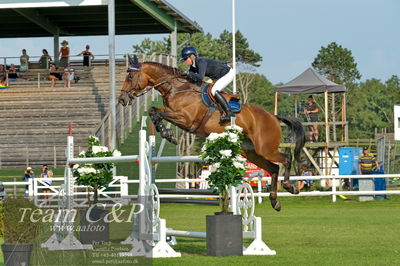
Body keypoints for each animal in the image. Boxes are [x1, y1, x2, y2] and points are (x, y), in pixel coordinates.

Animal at [117, 58, 304, 212]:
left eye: (130, 77)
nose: (121, 100)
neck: (177, 88)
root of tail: (273, 116)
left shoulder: (185, 118)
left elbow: (157, 113)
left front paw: (168, 133)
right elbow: (154, 111)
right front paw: (165, 132)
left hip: (265, 148)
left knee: (286, 159)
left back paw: (290, 186)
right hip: (252, 152)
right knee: (273, 168)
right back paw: (275, 201)